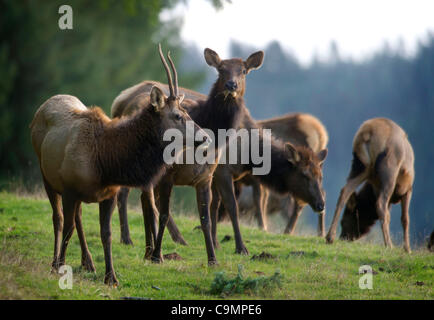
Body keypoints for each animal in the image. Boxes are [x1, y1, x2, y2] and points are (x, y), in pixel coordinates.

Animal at [29, 43, 208, 284]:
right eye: (178, 115)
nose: (205, 136)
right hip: (46, 175)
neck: (106, 163)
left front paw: (111, 277)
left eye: (187, 112)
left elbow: (106, 234)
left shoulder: (108, 194)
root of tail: (43, 106)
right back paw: (57, 262)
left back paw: (88, 262)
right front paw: (59, 267)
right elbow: (67, 228)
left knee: (78, 219)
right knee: (58, 219)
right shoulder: (68, 189)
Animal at [110, 47, 264, 262]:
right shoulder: (170, 175)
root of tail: (119, 102)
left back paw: (150, 248)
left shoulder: (206, 177)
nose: (231, 85)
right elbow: (164, 213)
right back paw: (135, 242)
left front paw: (214, 257)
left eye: (243, 71)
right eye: (221, 69)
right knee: (136, 198)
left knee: (145, 201)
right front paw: (158, 255)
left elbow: (208, 216)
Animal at [209, 114, 326, 254]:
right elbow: (226, 204)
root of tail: (321, 134)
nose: (320, 205)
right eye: (305, 175)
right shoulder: (222, 172)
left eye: (320, 176)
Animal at [326, 117, 414, 252]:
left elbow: (390, 215)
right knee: (380, 204)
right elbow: (405, 219)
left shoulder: (377, 187)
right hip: (389, 170)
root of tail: (367, 133)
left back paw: (330, 237)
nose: (343, 237)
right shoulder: (408, 190)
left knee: (345, 191)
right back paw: (389, 245)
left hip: (360, 166)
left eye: (345, 220)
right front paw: (407, 249)